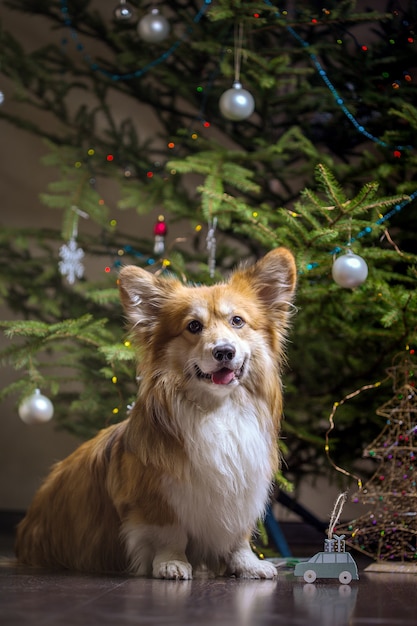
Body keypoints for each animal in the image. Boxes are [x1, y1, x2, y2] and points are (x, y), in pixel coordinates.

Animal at [15, 246, 296, 576]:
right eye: (193, 326)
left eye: (237, 321)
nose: (225, 351)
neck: (217, 411)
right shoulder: (157, 499)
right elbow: (170, 535)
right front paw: (172, 564)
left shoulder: (243, 490)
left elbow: (238, 536)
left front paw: (249, 565)